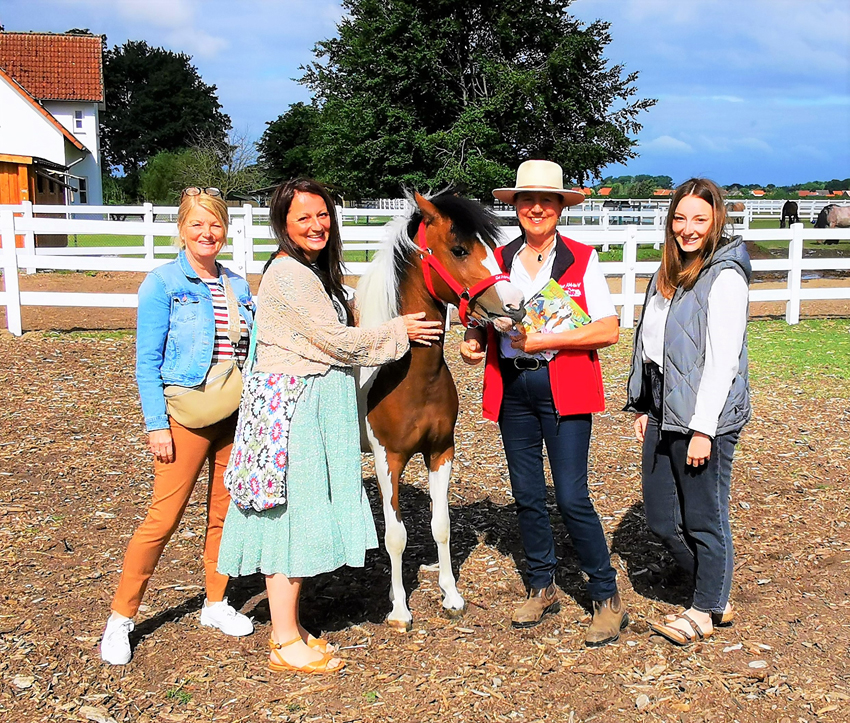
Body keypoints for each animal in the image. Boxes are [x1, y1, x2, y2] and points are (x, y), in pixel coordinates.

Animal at [354, 195, 528, 632]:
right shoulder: (388, 458)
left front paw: (451, 595)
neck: (410, 377)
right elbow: (396, 535)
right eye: (459, 249)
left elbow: (441, 526)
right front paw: (399, 609)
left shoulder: (441, 452)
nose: (515, 306)